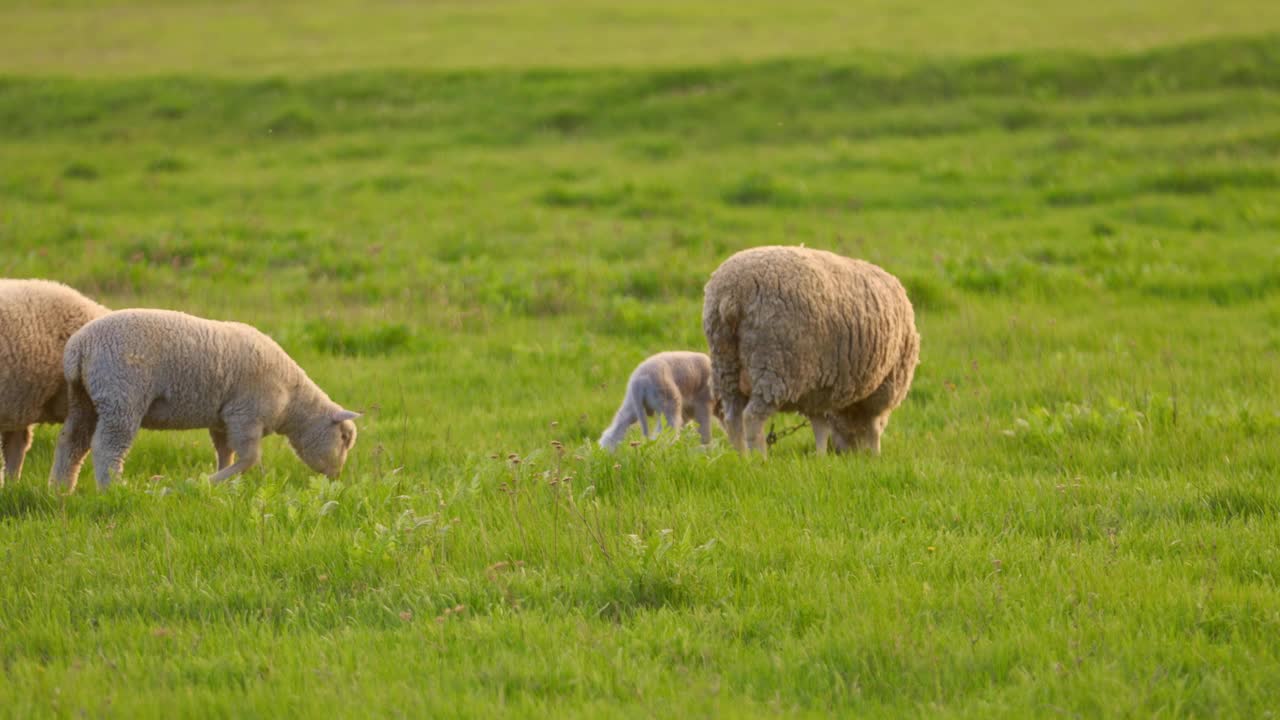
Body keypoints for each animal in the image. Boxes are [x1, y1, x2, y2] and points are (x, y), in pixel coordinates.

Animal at [0, 278, 108, 484]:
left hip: (82, 398)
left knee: (72, 444)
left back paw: (58, 487)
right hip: (20, 399)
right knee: (18, 442)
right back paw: (12, 484)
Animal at [49, 304, 360, 489]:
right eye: (345, 438)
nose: (337, 478)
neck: (293, 402)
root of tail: (79, 347)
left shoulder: (222, 420)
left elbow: (226, 454)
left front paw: (225, 485)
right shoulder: (245, 415)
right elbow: (249, 458)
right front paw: (201, 483)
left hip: (84, 397)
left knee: (71, 442)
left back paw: (60, 489)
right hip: (121, 396)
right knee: (107, 447)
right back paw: (113, 489)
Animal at [701, 243, 921, 456]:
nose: (847, 453)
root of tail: (731, 294)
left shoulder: (818, 391)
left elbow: (820, 427)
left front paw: (821, 457)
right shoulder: (882, 389)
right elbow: (873, 427)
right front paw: (876, 456)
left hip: (725, 362)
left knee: (732, 418)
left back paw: (742, 458)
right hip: (774, 365)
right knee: (752, 417)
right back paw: (760, 459)